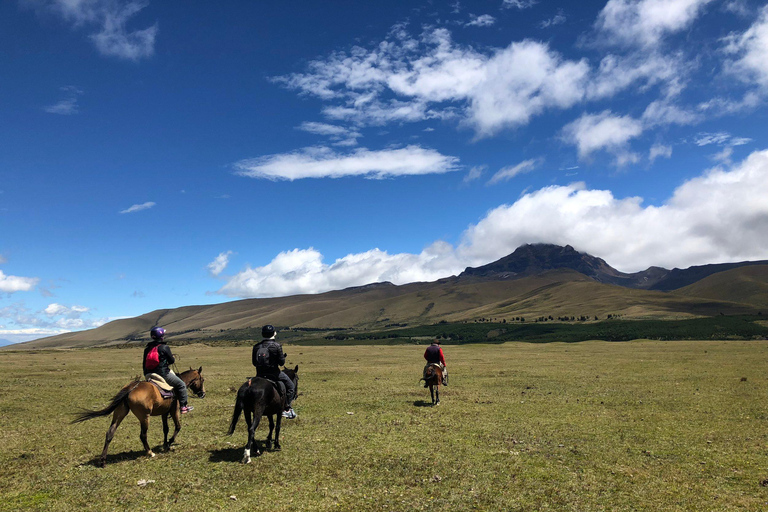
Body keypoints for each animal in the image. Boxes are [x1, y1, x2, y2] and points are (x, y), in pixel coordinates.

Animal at [71, 366, 204, 466]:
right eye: (202, 380)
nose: (202, 394)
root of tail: (131, 388)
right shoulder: (173, 410)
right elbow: (178, 426)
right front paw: (169, 443)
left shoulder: (164, 412)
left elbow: (165, 429)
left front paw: (165, 444)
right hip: (144, 417)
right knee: (143, 435)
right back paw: (150, 452)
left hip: (120, 413)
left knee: (110, 432)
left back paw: (103, 461)